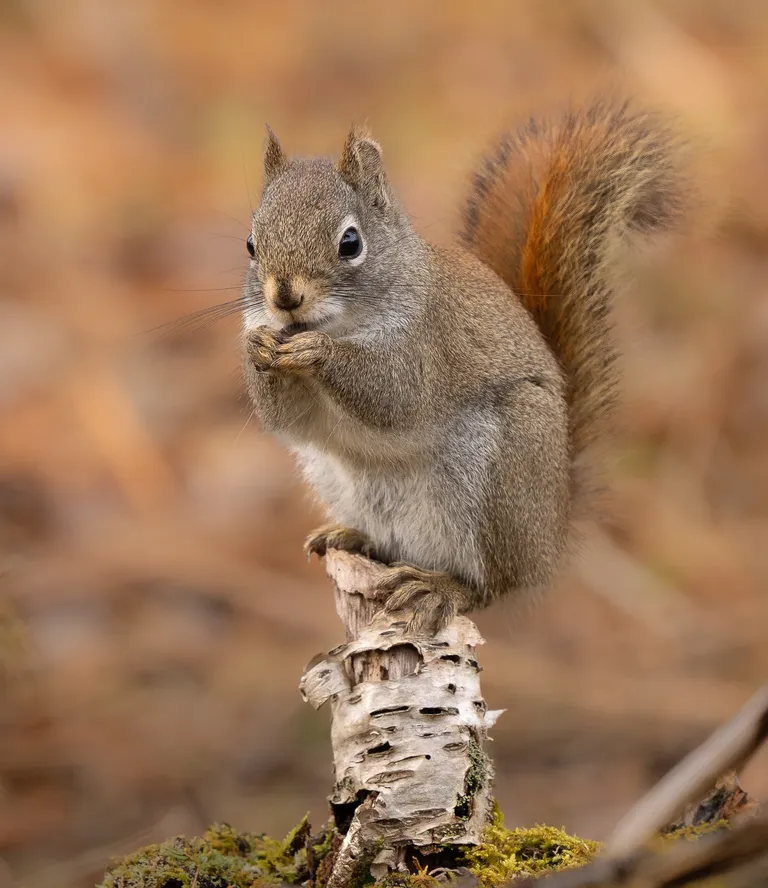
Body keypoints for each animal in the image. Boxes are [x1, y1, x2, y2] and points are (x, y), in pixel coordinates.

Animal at [241, 99, 685, 634]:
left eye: (350, 243)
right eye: (250, 243)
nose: (285, 298)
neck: (342, 323)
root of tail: (552, 533)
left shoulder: (429, 342)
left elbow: (395, 396)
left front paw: (317, 352)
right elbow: (288, 420)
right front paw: (258, 346)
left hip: (501, 477)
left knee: (493, 584)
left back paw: (440, 587)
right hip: (336, 478)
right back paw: (351, 535)